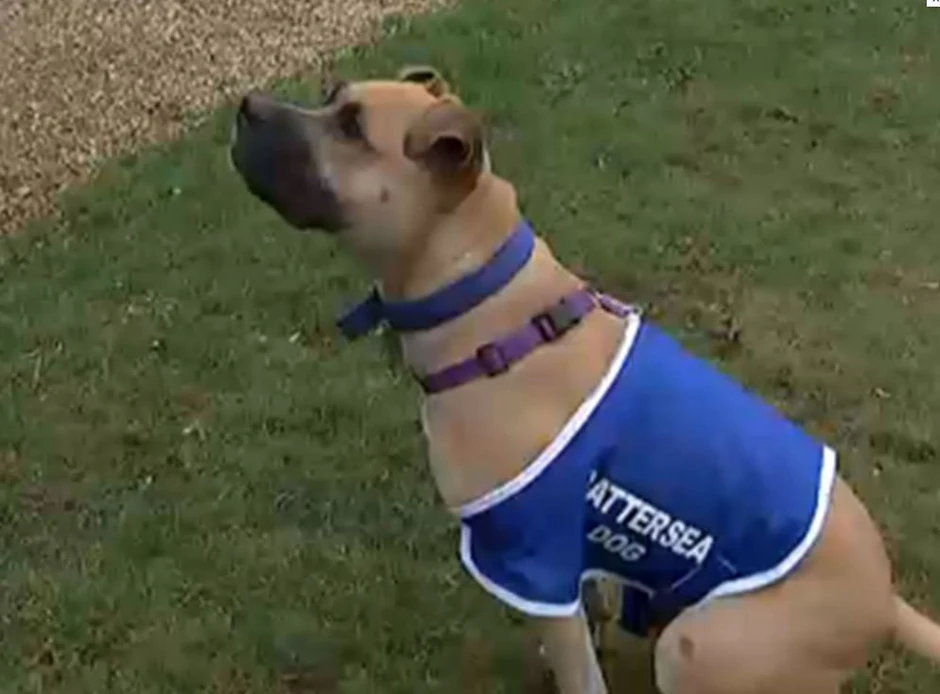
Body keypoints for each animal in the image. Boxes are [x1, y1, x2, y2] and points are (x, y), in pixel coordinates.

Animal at [229, 66, 940, 693]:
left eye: (352, 128)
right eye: (331, 96)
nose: (245, 107)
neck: (490, 308)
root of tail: (884, 605)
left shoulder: (532, 559)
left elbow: (579, 670)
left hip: (703, 645)